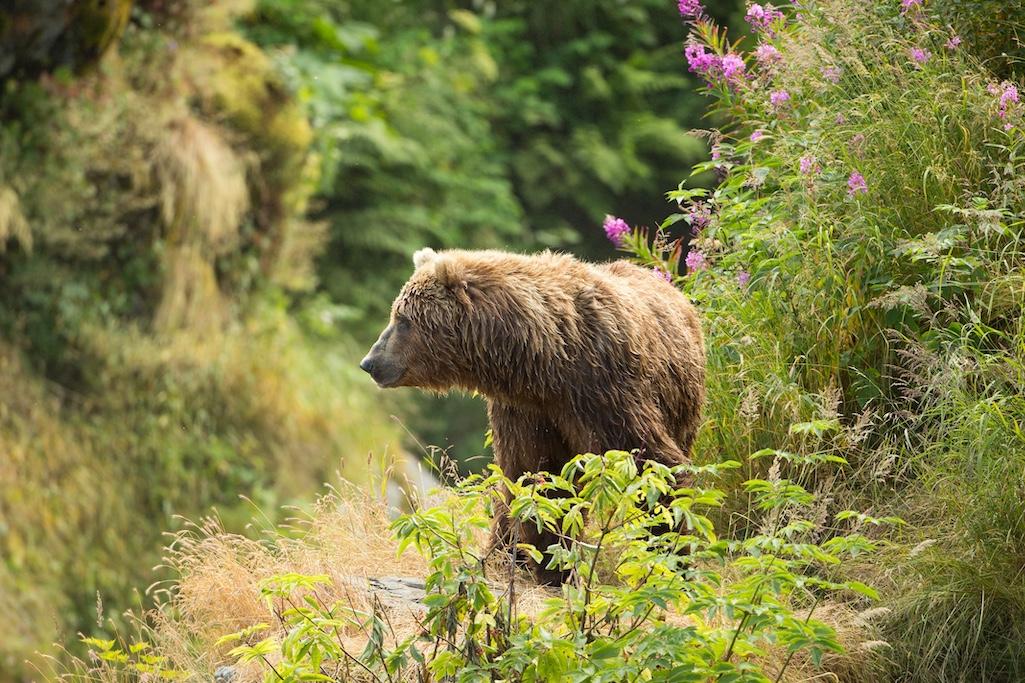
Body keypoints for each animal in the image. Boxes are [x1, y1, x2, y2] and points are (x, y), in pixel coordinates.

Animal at [360, 248, 706, 582]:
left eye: (402, 318)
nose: (370, 362)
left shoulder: (602, 391)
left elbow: (650, 462)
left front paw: (668, 553)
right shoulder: (526, 411)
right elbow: (534, 474)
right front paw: (527, 560)